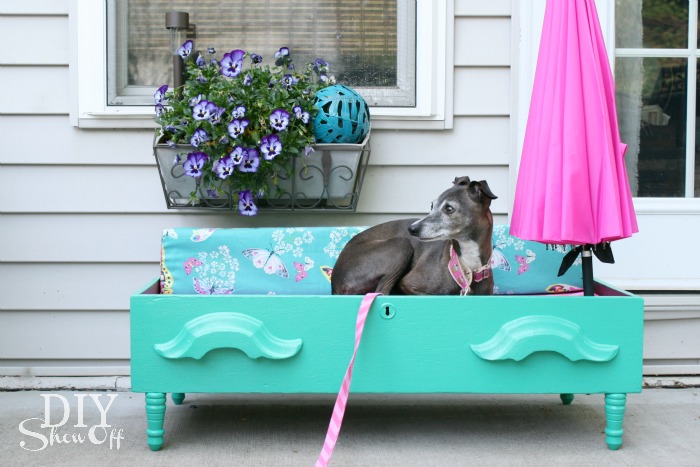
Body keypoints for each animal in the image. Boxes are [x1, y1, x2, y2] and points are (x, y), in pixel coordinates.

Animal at [330, 176, 494, 296]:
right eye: (432, 205)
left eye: (449, 208)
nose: (412, 229)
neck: (467, 268)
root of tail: (334, 284)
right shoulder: (408, 284)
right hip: (400, 245)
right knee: (381, 293)